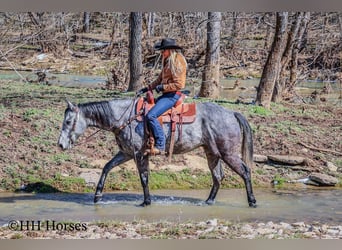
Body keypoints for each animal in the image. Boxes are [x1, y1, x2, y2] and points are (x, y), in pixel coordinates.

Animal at [58, 98, 256, 208]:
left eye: (68, 121)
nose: (60, 144)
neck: (124, 117)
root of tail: (231, 113)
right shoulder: (126, 153)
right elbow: (106, 167)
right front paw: (97, 195)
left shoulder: (139, 155)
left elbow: (144, 178)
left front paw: (146, 202)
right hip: (212, 153)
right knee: (218, 176)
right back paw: (208, 201)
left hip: (228, 153)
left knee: (245, 172)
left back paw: (252, 201)